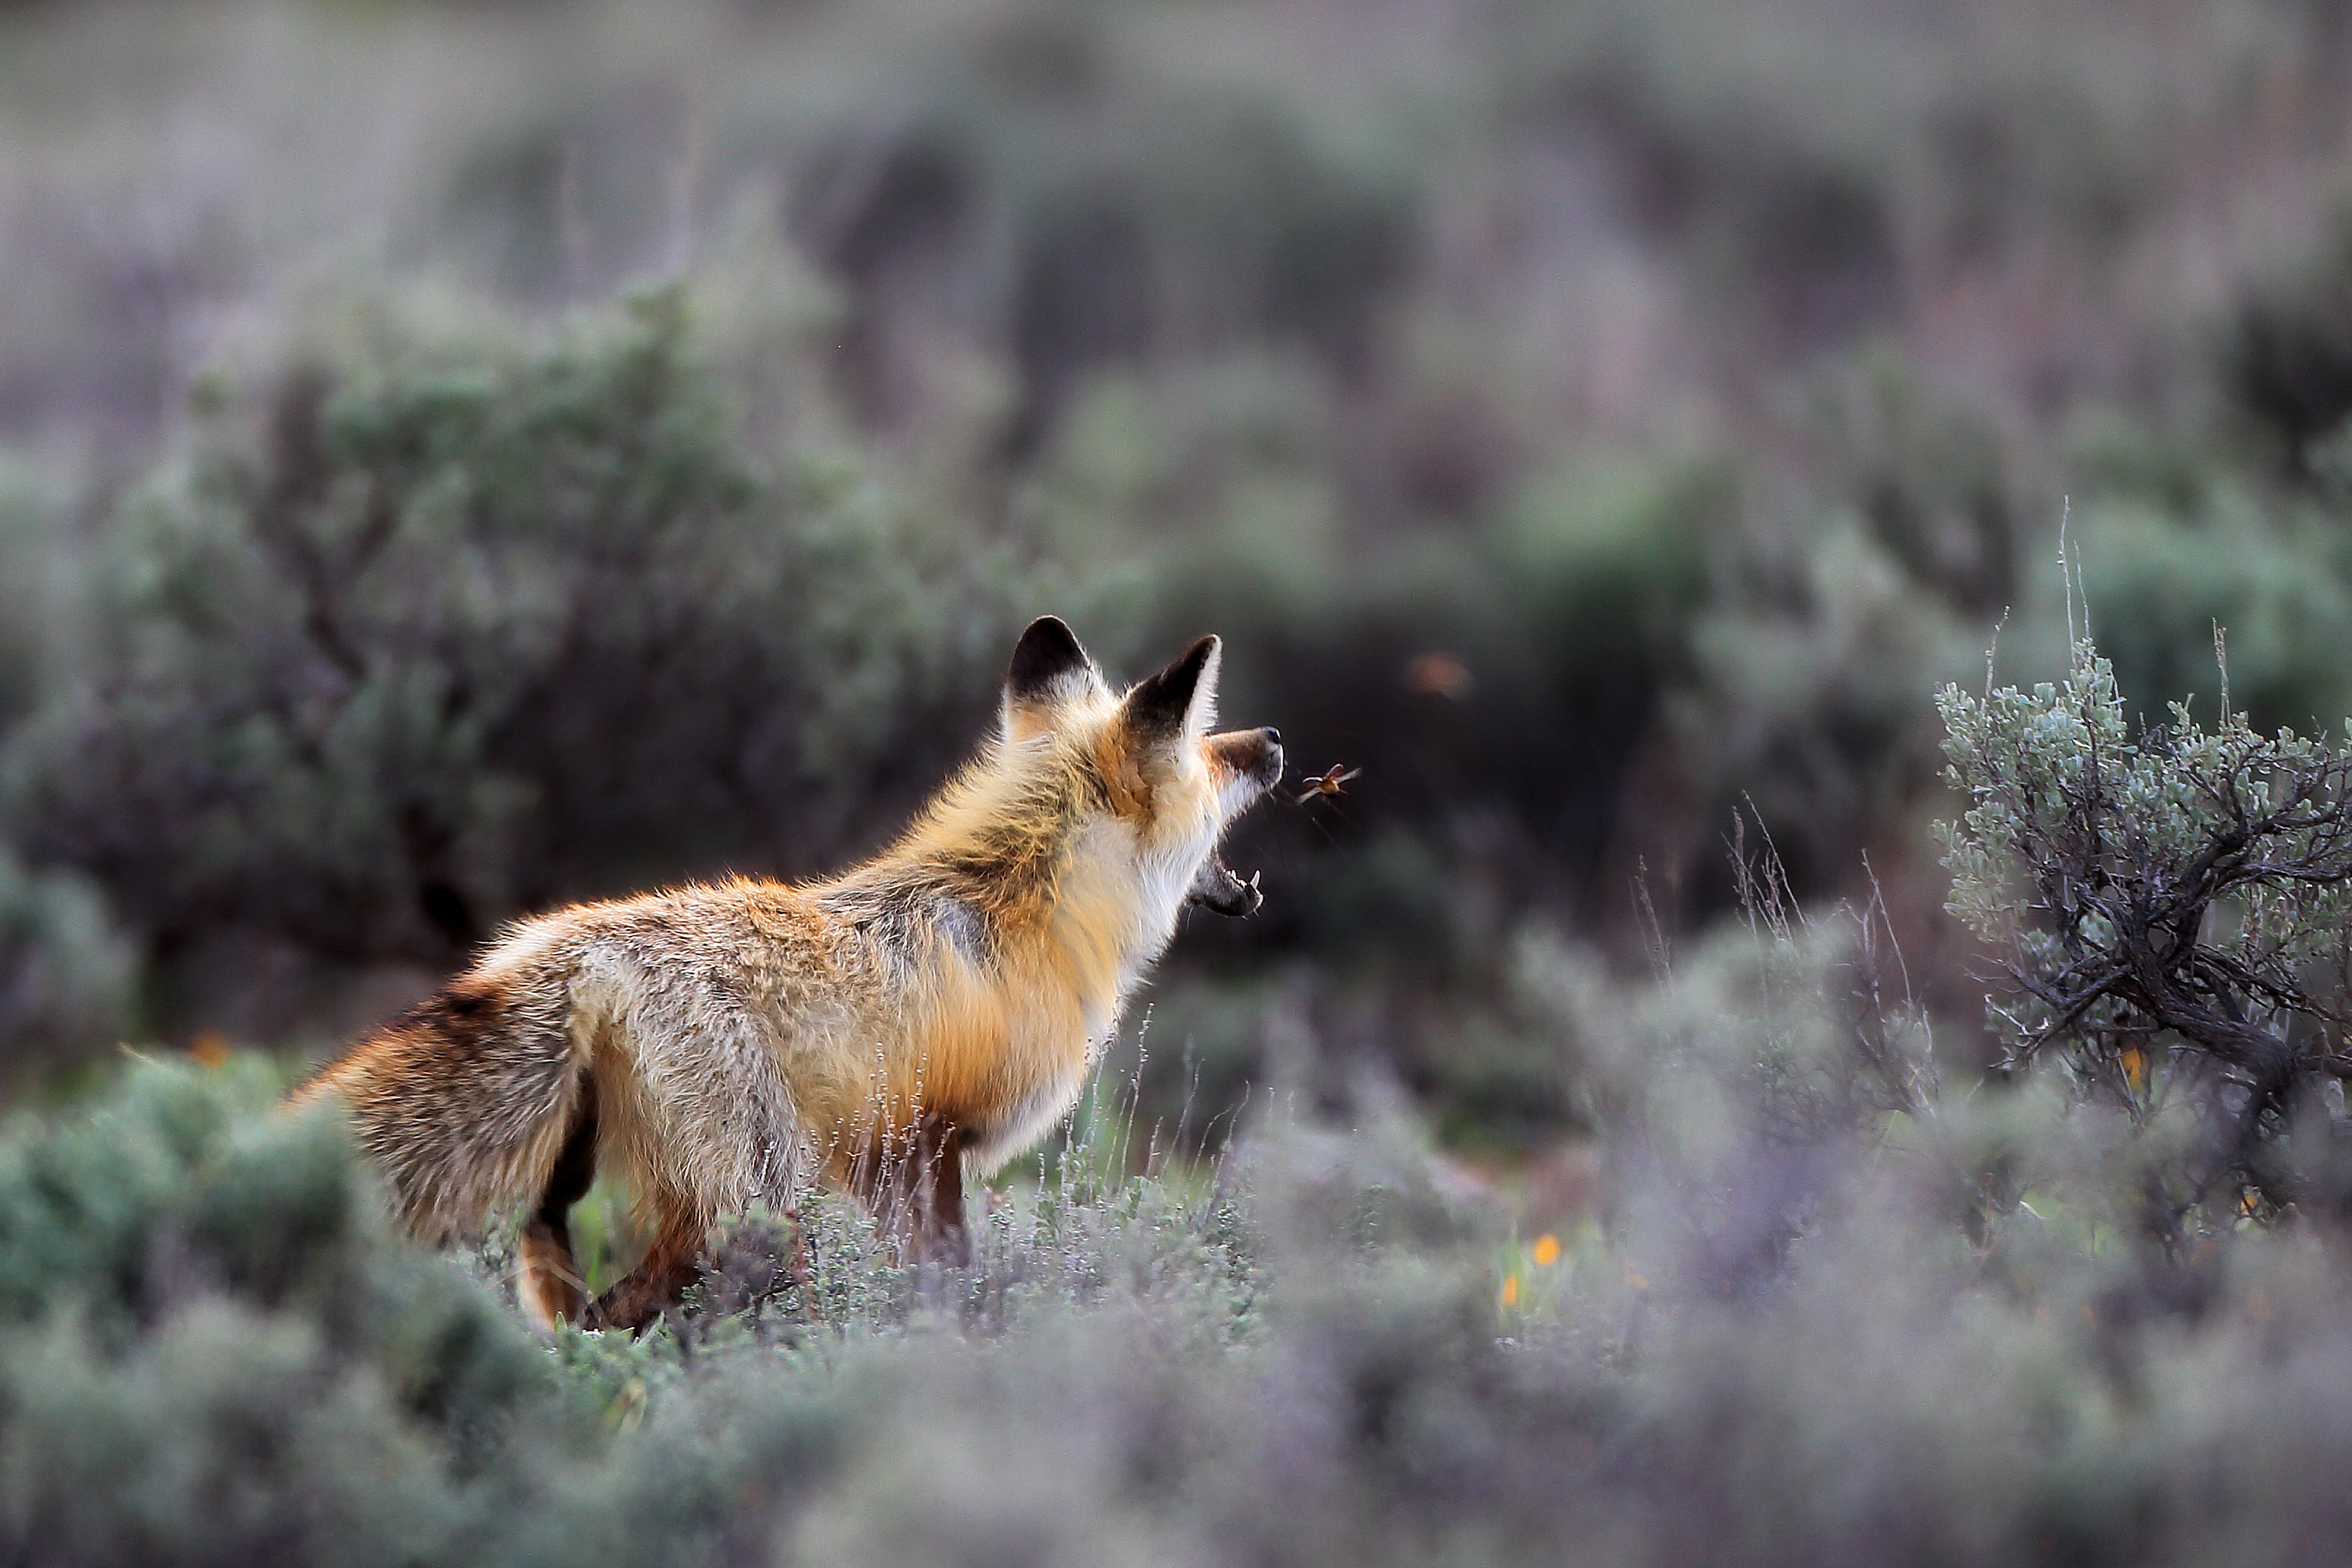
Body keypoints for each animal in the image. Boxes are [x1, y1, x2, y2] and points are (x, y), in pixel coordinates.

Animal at [293, 617, 1283, 1332]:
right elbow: (946, 1282)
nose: (1272, 736)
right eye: (1208, 752)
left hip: (574, 1187)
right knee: (643, 1317)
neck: (1014, 904)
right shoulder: (929, 1141)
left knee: (570, 1309)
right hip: (758, 1209)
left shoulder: (891, 1154)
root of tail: (568, 943)